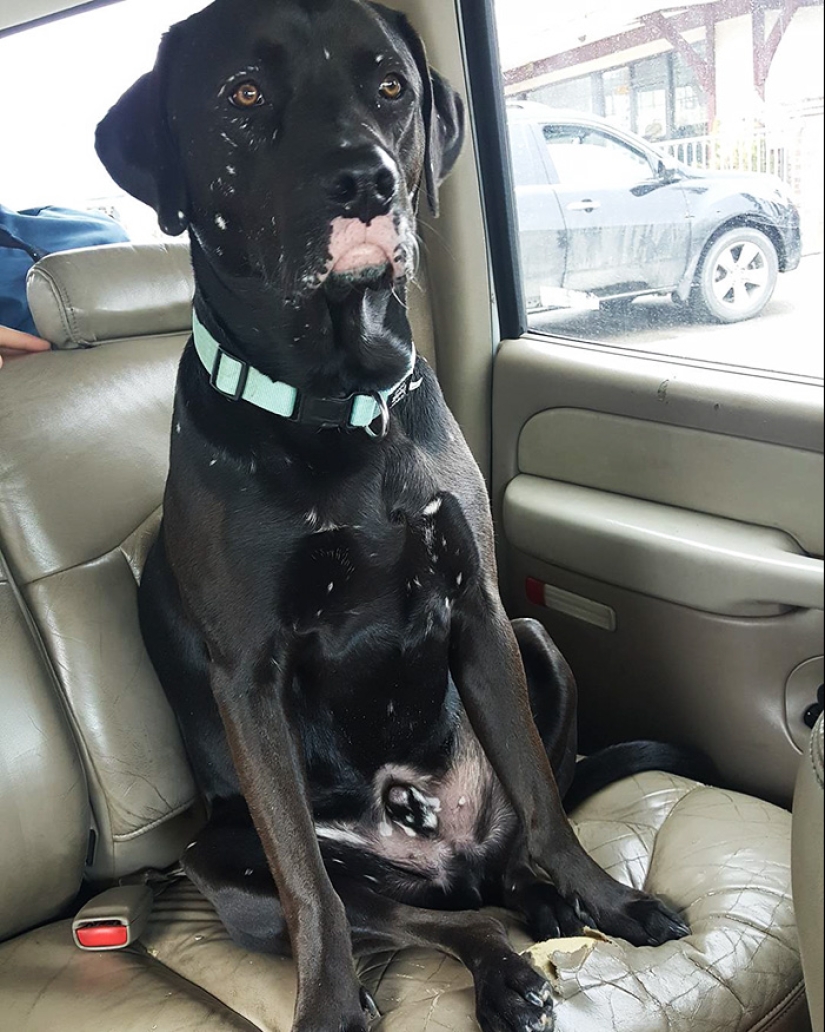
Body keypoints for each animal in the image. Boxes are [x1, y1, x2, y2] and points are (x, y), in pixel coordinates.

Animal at [97, 4, 689, 1027]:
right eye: (242, 94)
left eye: (390, 88)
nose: (367, 180)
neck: (338, 407)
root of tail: (440, 855)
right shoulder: (248, 678)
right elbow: (311, 888)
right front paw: (331, 1006)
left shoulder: (480, 610)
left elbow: (546, 802)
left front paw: (607, 901)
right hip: (217, 857)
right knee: (432, 917)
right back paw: (501, 972)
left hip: (536, 643)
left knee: (510, 860)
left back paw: (545, 907)